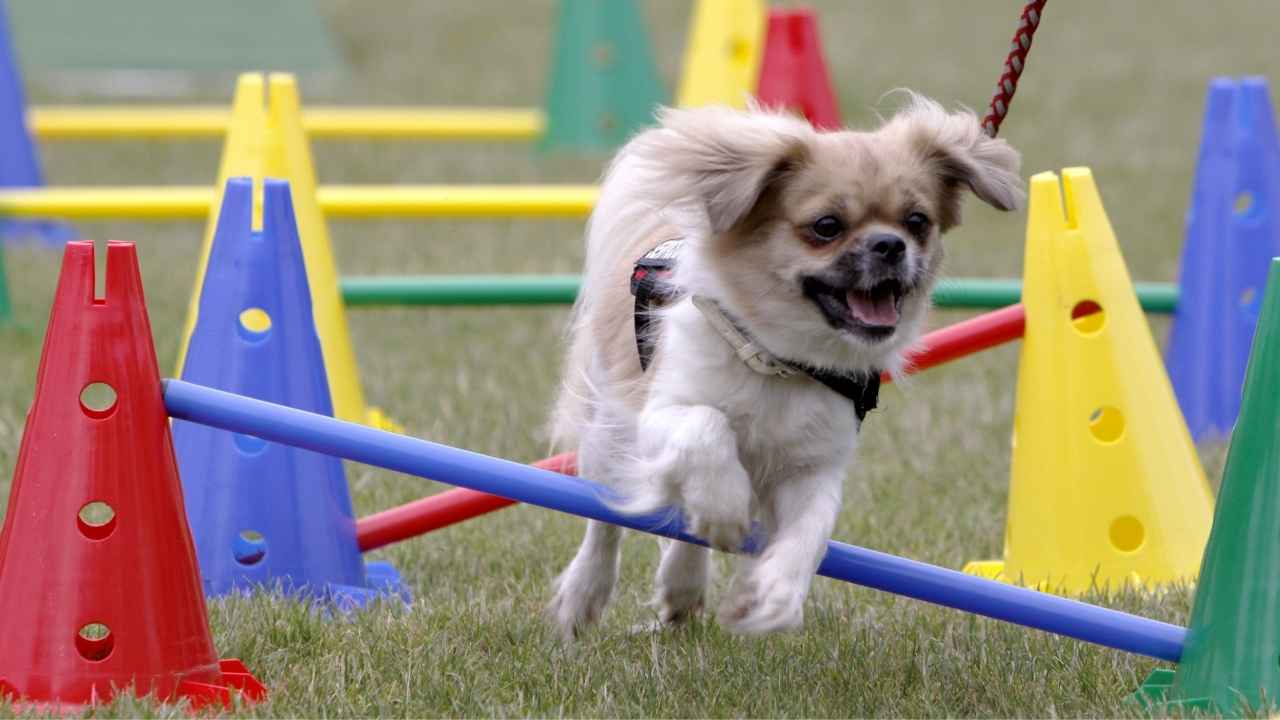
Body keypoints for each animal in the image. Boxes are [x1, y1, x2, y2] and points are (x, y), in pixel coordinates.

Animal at [547, 92, 1018, 635]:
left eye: (917, 221)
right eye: (826, 227)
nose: (890, 244)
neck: (782, 362)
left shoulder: (812, 467)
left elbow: (810, 532)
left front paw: (773, 596)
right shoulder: (663, 413)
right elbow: (707, 429)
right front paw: (726, 507)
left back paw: (682, 588)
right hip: (610, 432)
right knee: (606, 523)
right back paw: (585, 596)